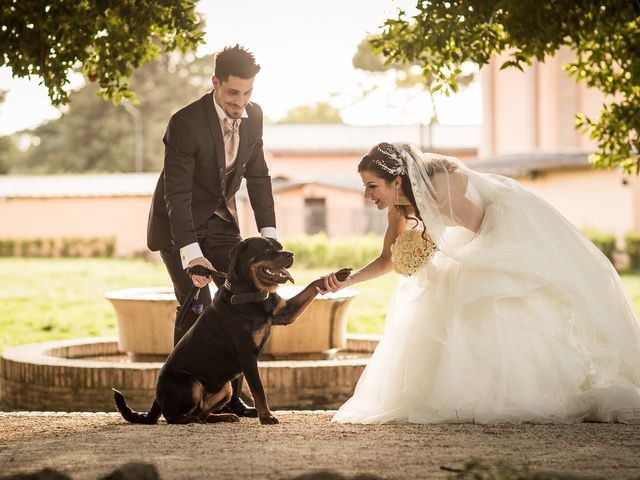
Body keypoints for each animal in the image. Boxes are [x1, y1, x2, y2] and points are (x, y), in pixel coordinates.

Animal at [115, 236, 350, 424]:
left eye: (280, 247)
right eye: (267, 250)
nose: (291, 254)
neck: (250, 295)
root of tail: (156, 401)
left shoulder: (285, 312)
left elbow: (313, 286)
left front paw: (338, 275)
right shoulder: (247, 355)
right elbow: (258, 390)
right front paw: (267, 417)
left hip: (225, 387)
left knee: (202, 411)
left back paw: (223, 416)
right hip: (190, 383)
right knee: (174, 416)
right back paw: (192, 420)